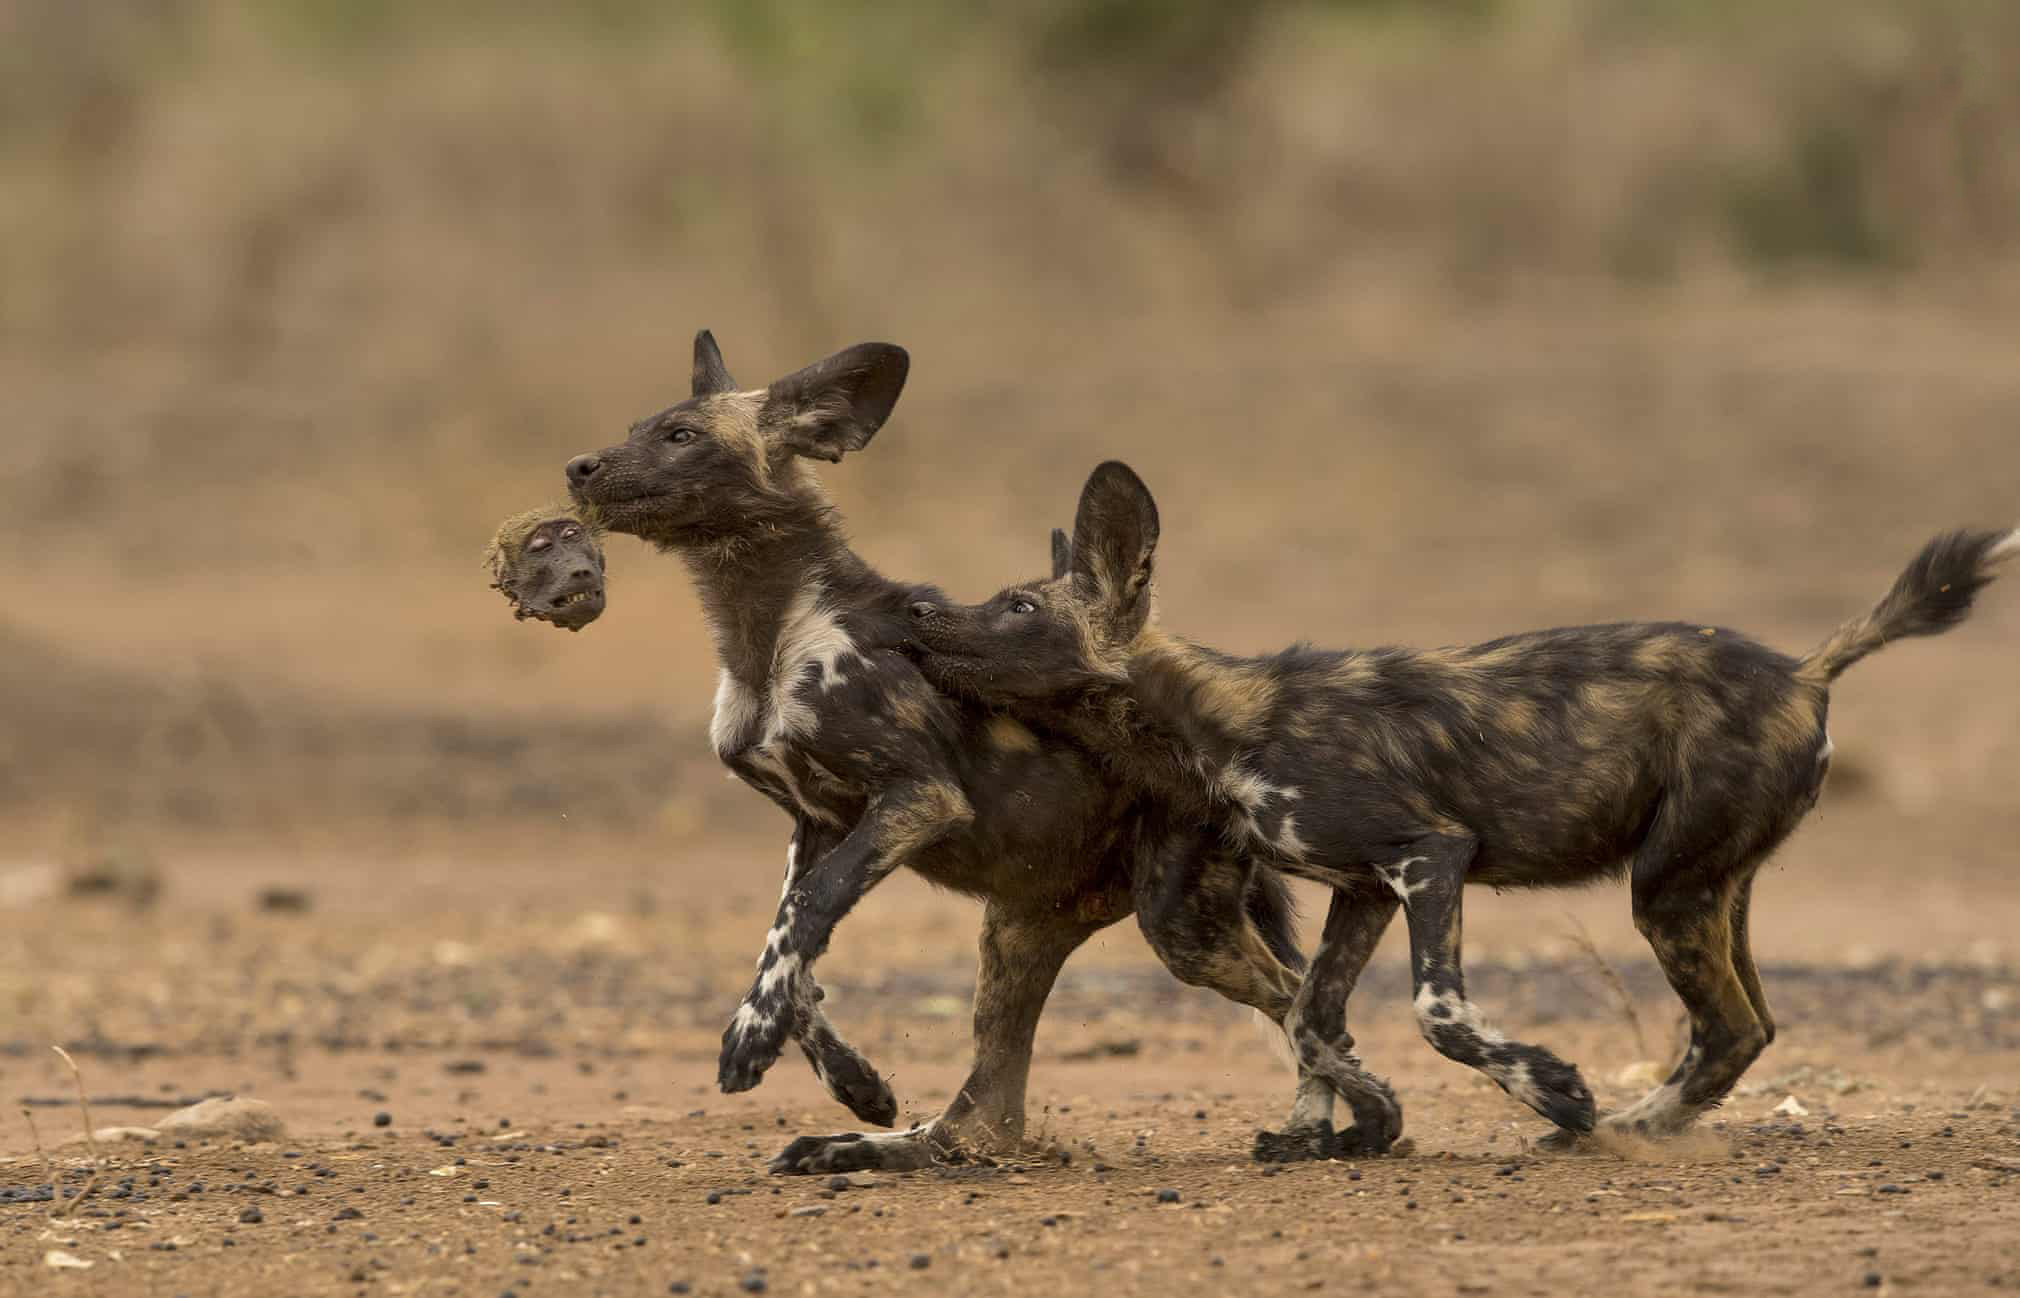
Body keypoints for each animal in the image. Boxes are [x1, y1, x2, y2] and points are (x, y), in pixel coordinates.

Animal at [569, 335, 1333, 1178]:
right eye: (636, 428)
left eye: (681, 436)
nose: (578, 467)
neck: (768, 635)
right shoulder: (818, 823)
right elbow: (791, 944)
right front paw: (854, 1081)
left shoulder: (916, 798)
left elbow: (807, 912)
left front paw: (748, 1043)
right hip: (1019, 928)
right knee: (986, 1118)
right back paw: (861, 1146)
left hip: (1179, 926)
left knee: (1298, 996)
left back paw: (1345, 1124)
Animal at [917, 460, 2020, 1146]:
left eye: (1017, 606)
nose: (920, 606)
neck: (1216, 724)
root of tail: (1804, 669)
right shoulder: (1363, 888)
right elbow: (1312, 1016)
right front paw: (1341, 1123)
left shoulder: (1428, 856)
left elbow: (1436, 1010)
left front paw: (1554, 1089)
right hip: (1711, 886)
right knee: (1749, 1024)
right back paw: (1637, 1126)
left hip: (1664, 890)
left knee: (1730, 1028)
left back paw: (1613, 1131)